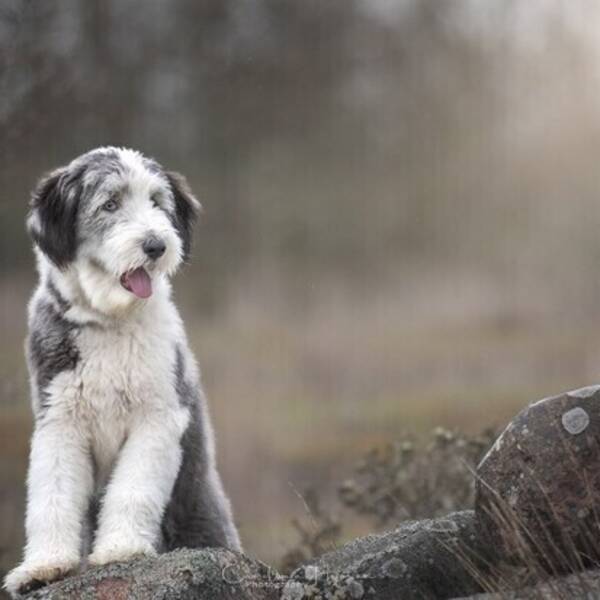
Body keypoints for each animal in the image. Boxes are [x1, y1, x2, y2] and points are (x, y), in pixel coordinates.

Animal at [2, 149, 241, 596]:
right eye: (110, 204)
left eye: (156, 202)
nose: (156, 244)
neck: (109, 322)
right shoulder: (59, 421)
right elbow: (51, 496)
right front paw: (44, 566)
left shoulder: (158, 418)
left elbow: (133, 488)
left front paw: (121, 549)